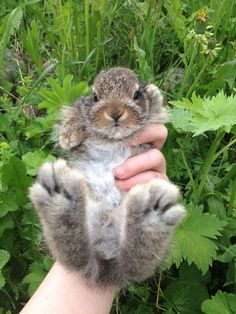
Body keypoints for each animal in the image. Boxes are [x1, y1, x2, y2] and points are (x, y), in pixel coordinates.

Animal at [29, 67, 184, 286]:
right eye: (95, 96)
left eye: (136, 95)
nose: (115, 112)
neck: (113, 138)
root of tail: (105, 256)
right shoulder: (80, 109)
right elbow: (75, 115)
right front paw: (68, 136)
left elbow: (154, 110)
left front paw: (154, 93)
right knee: (76, 256)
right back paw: (60, 201)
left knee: (135, 266)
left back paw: (150, 217)